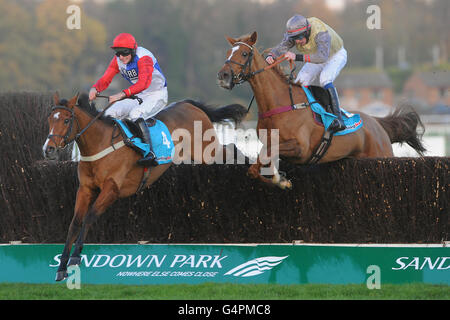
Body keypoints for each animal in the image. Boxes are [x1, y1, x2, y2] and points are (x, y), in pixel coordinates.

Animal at [42, 92, 248, 280]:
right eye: (50, 119)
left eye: (67, 120)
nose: (48, 149)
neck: (100, 145)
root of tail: (189, 104)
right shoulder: (85, 189)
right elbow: (74, 223)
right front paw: (61, 267)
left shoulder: (112, 189)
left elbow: (89, 217)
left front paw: (76, 258)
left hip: (207, 152)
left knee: (231, 149)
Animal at [218, 31, 426, 189]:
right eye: (228, 52)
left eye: (244, 54)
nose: (223, 75)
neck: (279, 103)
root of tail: (377, 123)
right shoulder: (272, 143)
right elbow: (257, 166)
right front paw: (281, 179)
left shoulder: (301, 148)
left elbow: (266, 154)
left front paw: (281, 180)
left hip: (381, 155)